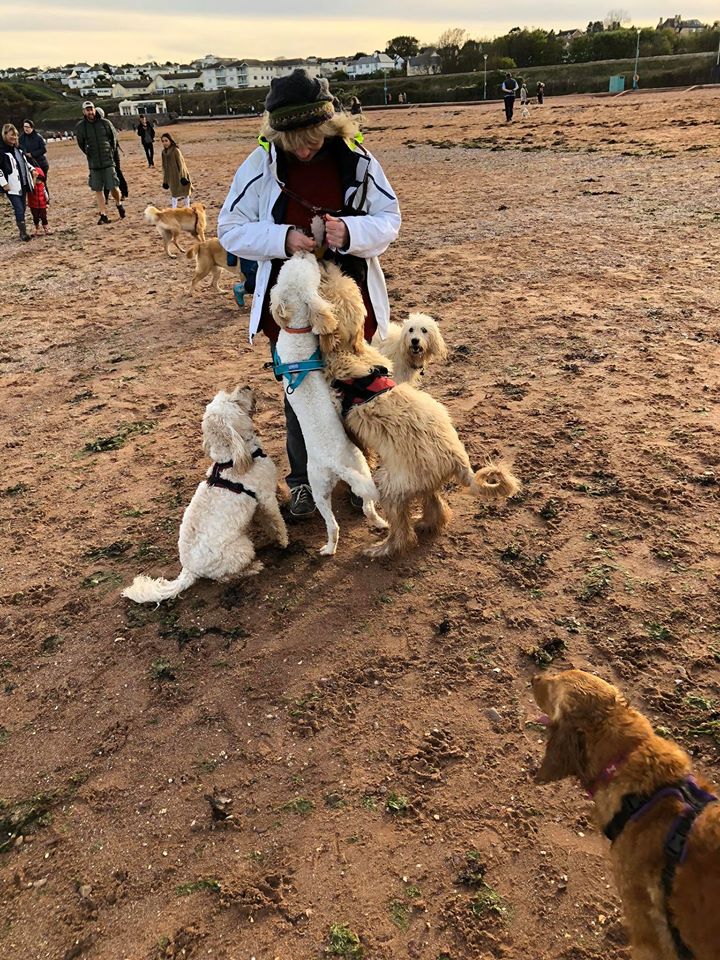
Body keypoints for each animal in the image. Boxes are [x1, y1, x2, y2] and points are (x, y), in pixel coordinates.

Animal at [121, 382, 286, 600]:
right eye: (235, 402)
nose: (246, 385)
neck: (230, 461)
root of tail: (189, 570)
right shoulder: (266, 498)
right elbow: (277, 521)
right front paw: (284, 541)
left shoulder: (258, 503)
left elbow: (270, 516)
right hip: (242, 549)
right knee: (225, 577)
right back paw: (253, 568)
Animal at [270, 255, 386, 556]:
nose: (304, 253)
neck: (296, 332)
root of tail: (336, 466)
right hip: (344, 476)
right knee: (356, 514)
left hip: (331, 483)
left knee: (338, 523)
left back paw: (331, 547)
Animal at [318, 266, 520, 560]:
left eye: (327, 290)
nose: (328, 266)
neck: (352, 353)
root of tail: (459, 460)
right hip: (420, 482)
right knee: (437, 507)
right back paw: (425, 523)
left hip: (391, 484)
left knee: (402, 534)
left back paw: (381, 548)